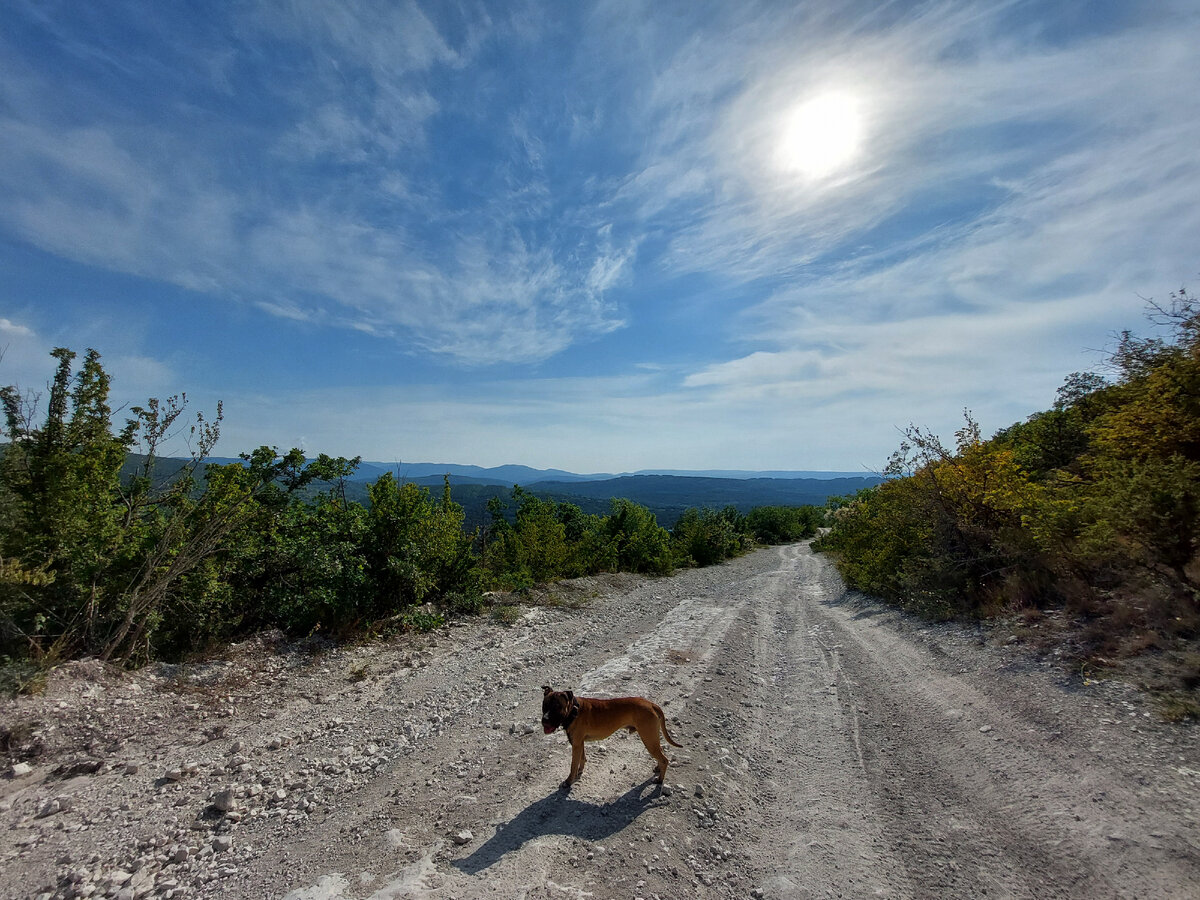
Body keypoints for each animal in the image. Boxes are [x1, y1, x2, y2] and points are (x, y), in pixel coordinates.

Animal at [540, 686, 681, 792]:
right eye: (544, 705)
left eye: (557, 706)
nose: (544, 720)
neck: (574, 710)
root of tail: (651, 704)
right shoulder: (579, 743)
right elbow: (582, 759)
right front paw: (579, 772)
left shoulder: (576, 744)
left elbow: (573, 765)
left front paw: (569, 781)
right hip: (652, 739)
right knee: (661, 754)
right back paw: (658, 769)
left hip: (648, 739)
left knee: (664, 759)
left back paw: (660, 780)